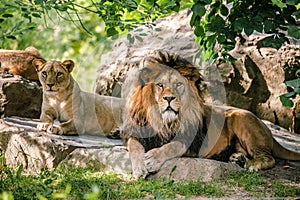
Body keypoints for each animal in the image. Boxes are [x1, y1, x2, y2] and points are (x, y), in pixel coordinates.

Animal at [121, 49, 300, 178]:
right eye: (160, 85)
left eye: (179, 84)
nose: (169, 98)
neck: (164, 122)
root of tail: (267, 127)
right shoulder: (135, 133)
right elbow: (135, 147)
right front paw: (139, 168)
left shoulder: (193, 143)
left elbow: (173, 146)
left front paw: (152, 159)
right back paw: (237, 159)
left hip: (241, 117)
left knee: (269, 158)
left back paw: (252, 165)